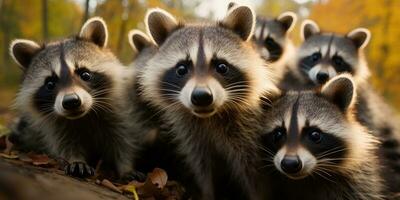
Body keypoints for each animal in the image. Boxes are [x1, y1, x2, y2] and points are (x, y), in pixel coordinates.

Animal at [9, 17, 138, 180]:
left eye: (85, 74)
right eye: (50, 84)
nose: (71, 102)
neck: (84, 117)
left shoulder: (119, 114)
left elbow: (123, 140)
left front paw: (126, 166)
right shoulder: (54, 126)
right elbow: (65, 143)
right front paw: (75, 160)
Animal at [138, 5, 278, 200]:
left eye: (222, 67)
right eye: (181, 69)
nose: (201, 96)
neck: (209, 117)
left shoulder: (249, 133)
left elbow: (254, 175)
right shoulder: (192, 136)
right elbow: (202, 169)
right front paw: (207, 192)